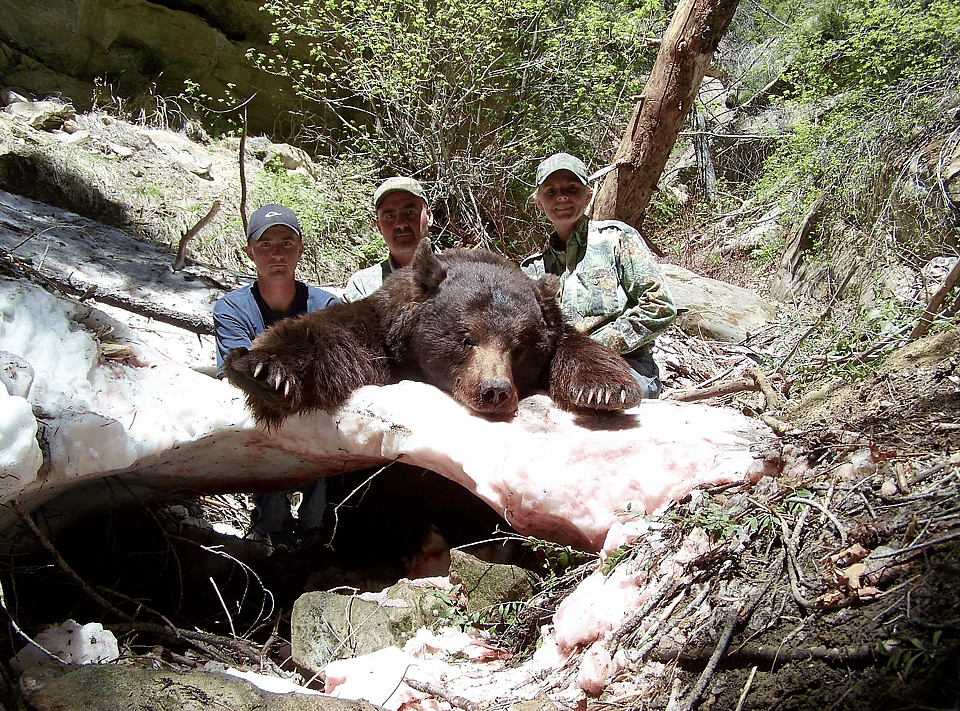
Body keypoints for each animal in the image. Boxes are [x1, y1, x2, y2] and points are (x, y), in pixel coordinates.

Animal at [224, 239, 644, 427]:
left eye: (520, 347)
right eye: (465, 338)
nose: (495, 391)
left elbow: (574, 344)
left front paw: (605, 389)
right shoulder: (379, 334)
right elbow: (335, 336)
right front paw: (265, 371)